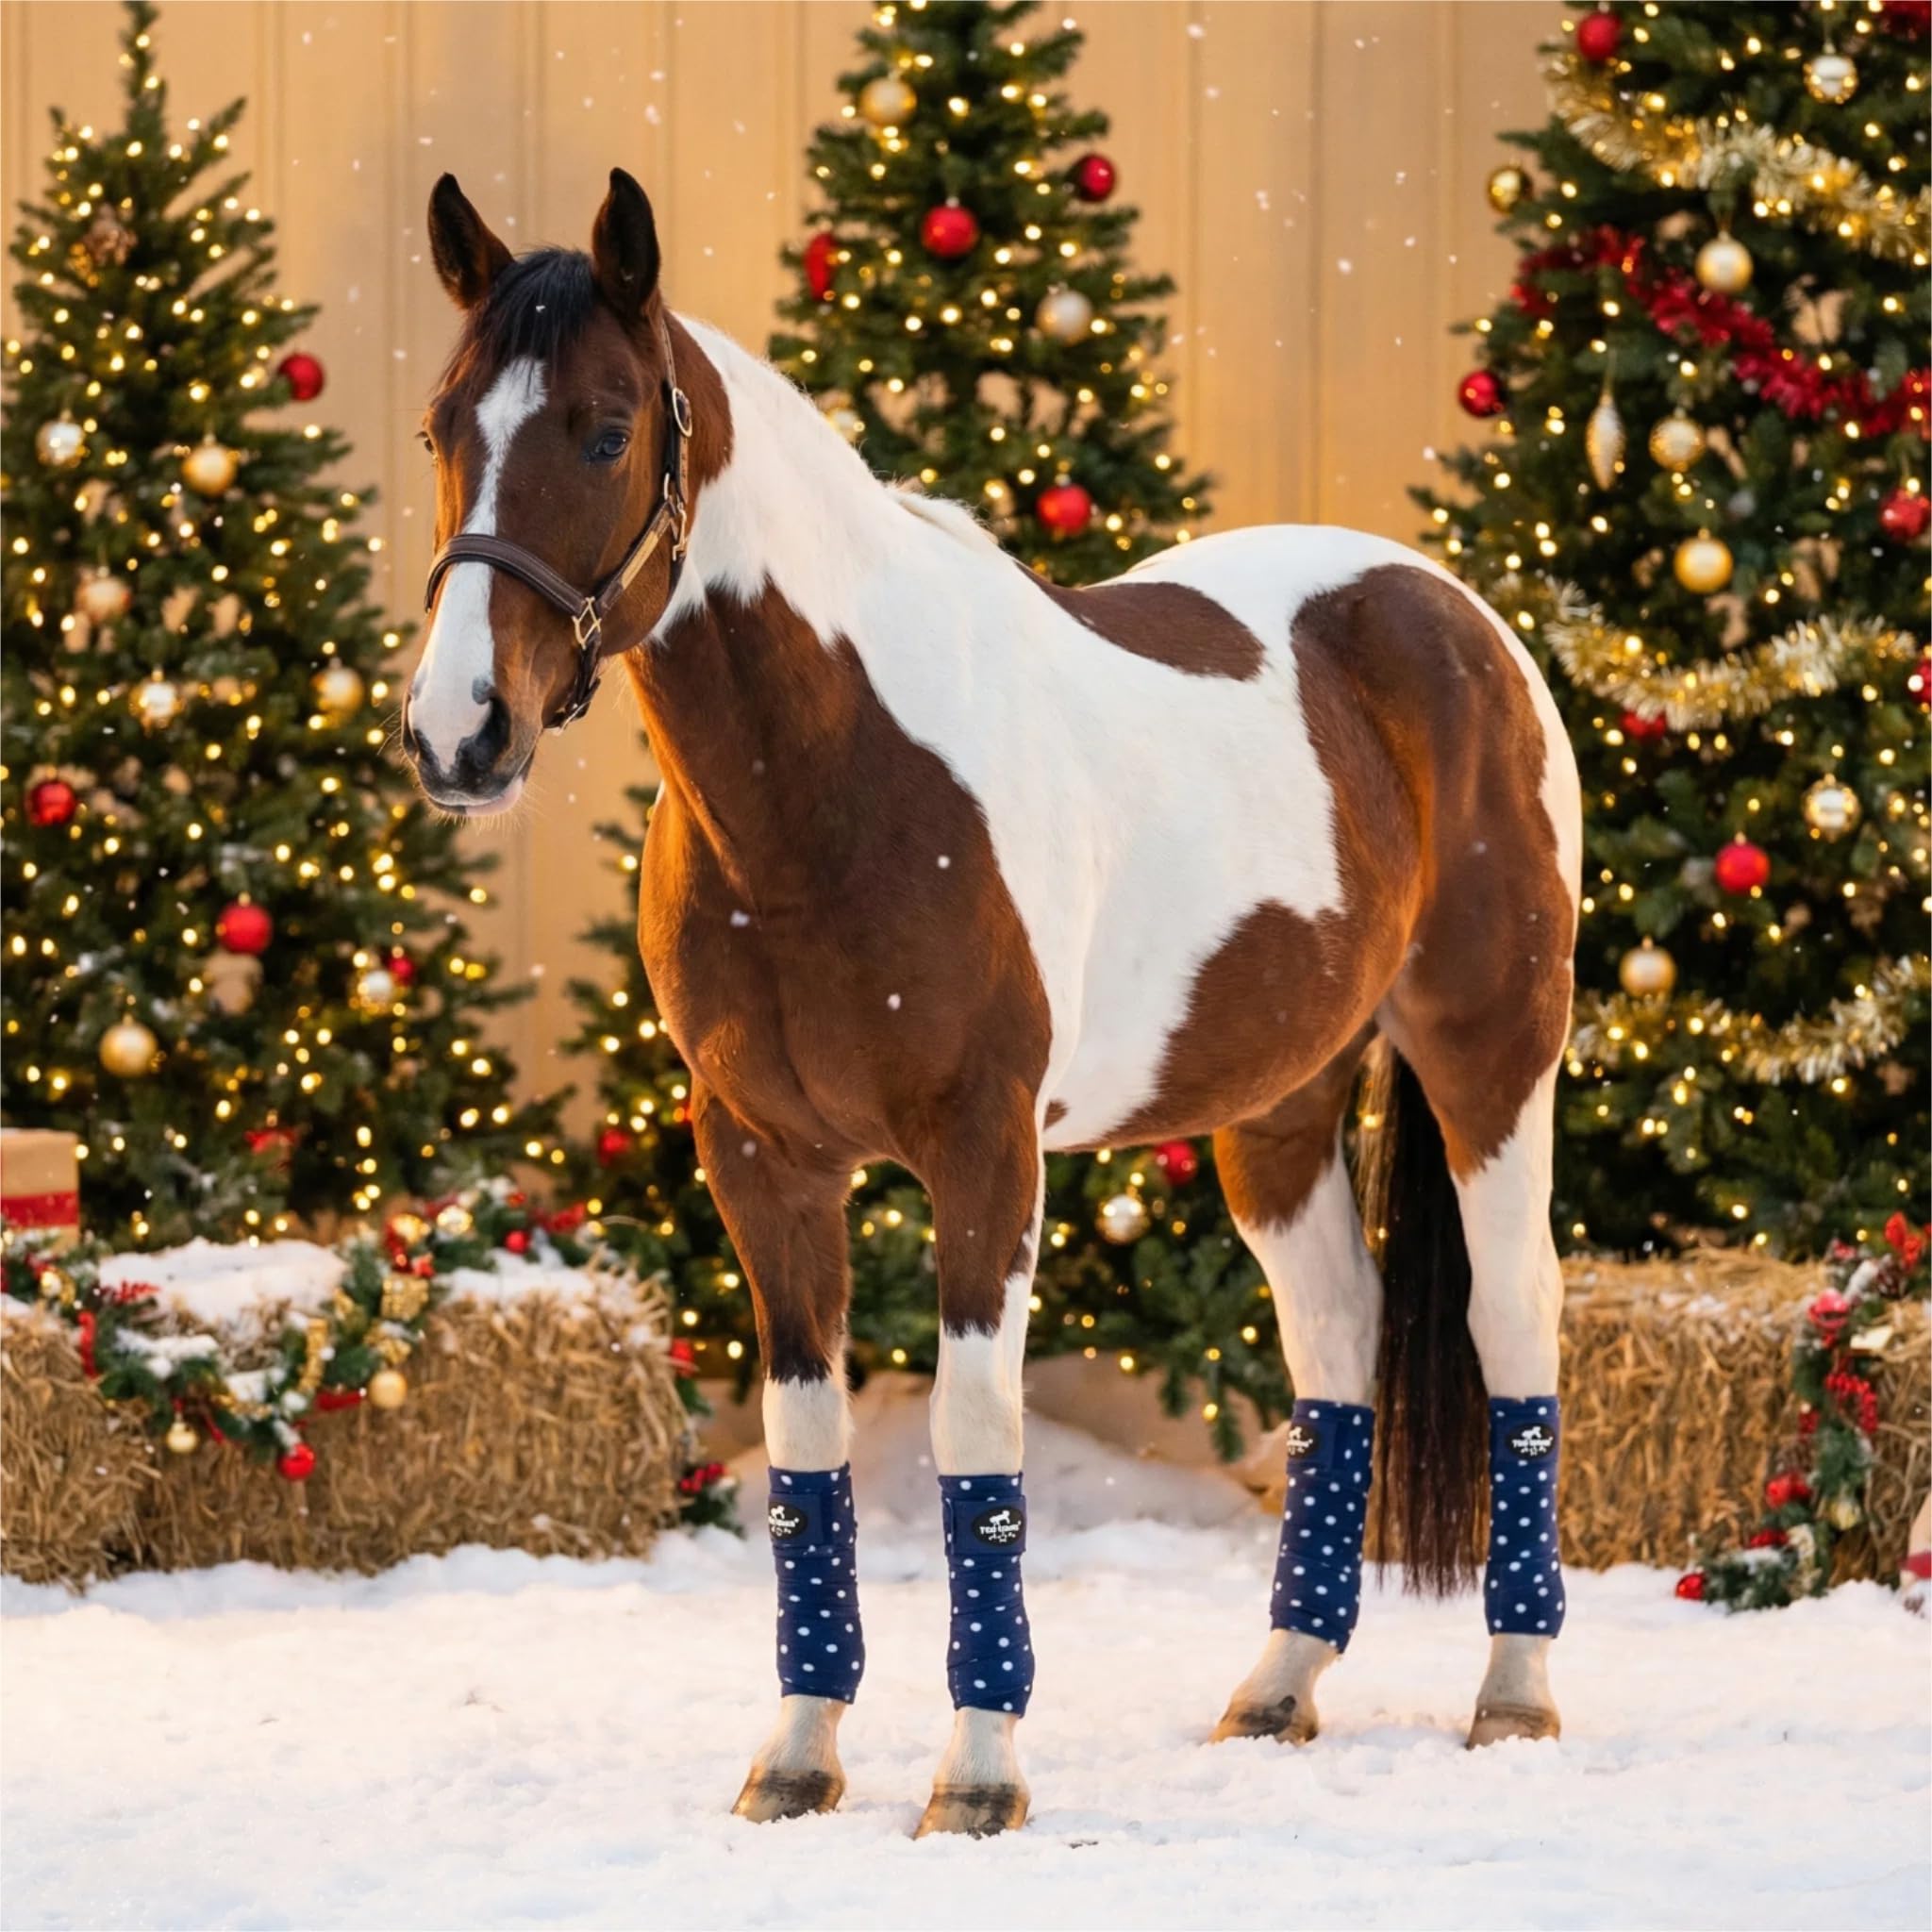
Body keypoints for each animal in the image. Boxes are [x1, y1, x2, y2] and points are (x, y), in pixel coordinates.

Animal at [403, 169, 1583, 1838]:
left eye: (605, 427)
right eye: (443, 423)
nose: (460, 734)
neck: (833, 779)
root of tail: (1454, 615)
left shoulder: (984, 1149)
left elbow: (977, 1445)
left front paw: (975, 1776)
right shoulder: (759, 1157)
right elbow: (806, 1447)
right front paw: (799, 1756)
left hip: (1494, 1055)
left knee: (1515, 1316)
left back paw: (1516, 1696)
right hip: (1276, 1107)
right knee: (1336, 1338)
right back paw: (1278, 1688)